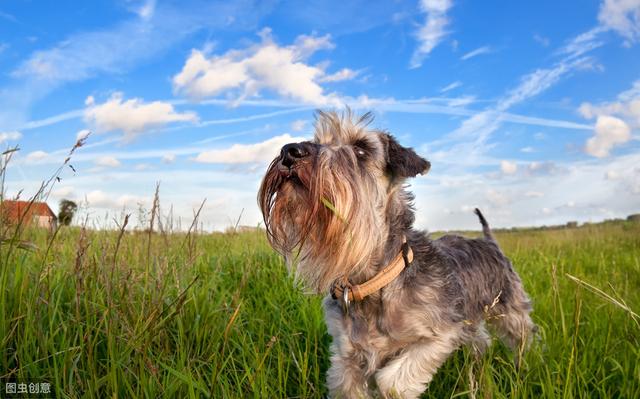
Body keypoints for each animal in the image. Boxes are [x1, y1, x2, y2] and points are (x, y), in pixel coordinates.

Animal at [258, 110, 536, 399]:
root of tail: (490, 242)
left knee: (521, 338)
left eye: (361, 149)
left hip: (511, 312)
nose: (290, 151)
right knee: (481, 341)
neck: (374, 281)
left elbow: (392, 381)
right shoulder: (347, 357)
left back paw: (523, 367)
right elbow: (349, 385)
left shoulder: (440, 334)